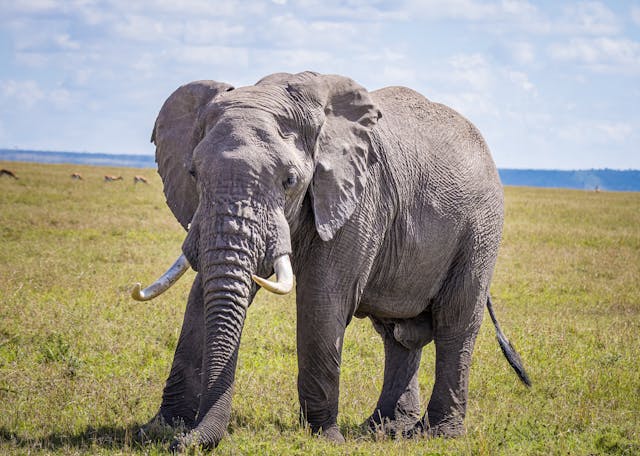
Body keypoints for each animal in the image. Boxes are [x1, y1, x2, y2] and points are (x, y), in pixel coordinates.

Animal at [131, 71, 530, 449]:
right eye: (194, 174)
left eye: (289, 180)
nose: (183, 444)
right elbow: (201, 297)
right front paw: (160, 429)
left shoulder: (359, 197)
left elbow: (323, 300)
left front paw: (325, 437)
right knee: (398, 335)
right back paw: (386, 429)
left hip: (481, 228)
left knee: (455, 322)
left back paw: (438, 434)